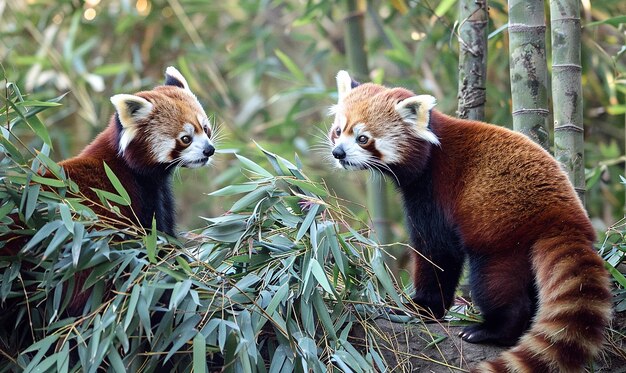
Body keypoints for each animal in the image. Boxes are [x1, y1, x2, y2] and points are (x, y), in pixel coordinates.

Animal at [326, 70, 608, 372]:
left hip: (501, 228)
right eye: (339, 131)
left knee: (494, 280)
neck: (430, 154)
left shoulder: (435, 191)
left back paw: (492, 330)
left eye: (363, 138)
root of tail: (565, 217)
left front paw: (422, 307)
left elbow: (437, 252)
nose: (338, 153)